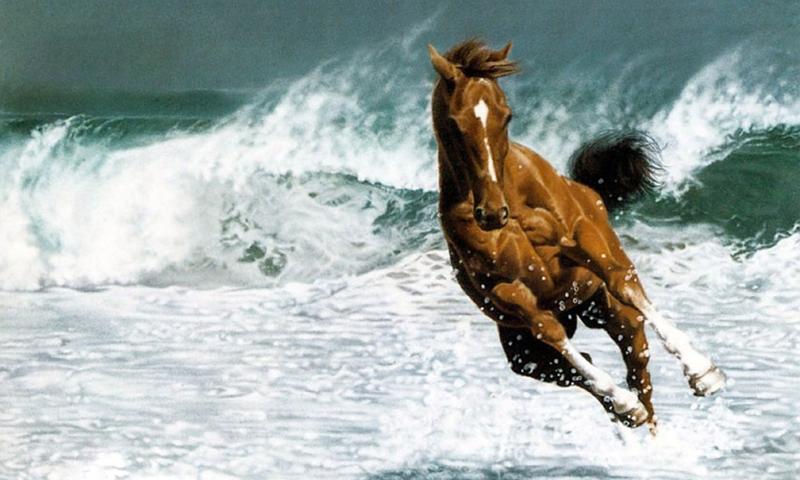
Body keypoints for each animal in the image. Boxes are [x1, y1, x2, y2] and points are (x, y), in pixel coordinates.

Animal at [428, 39, 726, 431]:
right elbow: (551, 332)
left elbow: (621, 282)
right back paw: (626, 409)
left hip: (611, 312)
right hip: (525, 352)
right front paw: (624, 404)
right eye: (455, 123)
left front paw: (703, 372)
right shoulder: (507, 291)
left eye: (506, 115)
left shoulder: (579, 237)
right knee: (578, 368)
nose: (492, 214)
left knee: (638, 366)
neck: (511, 195)